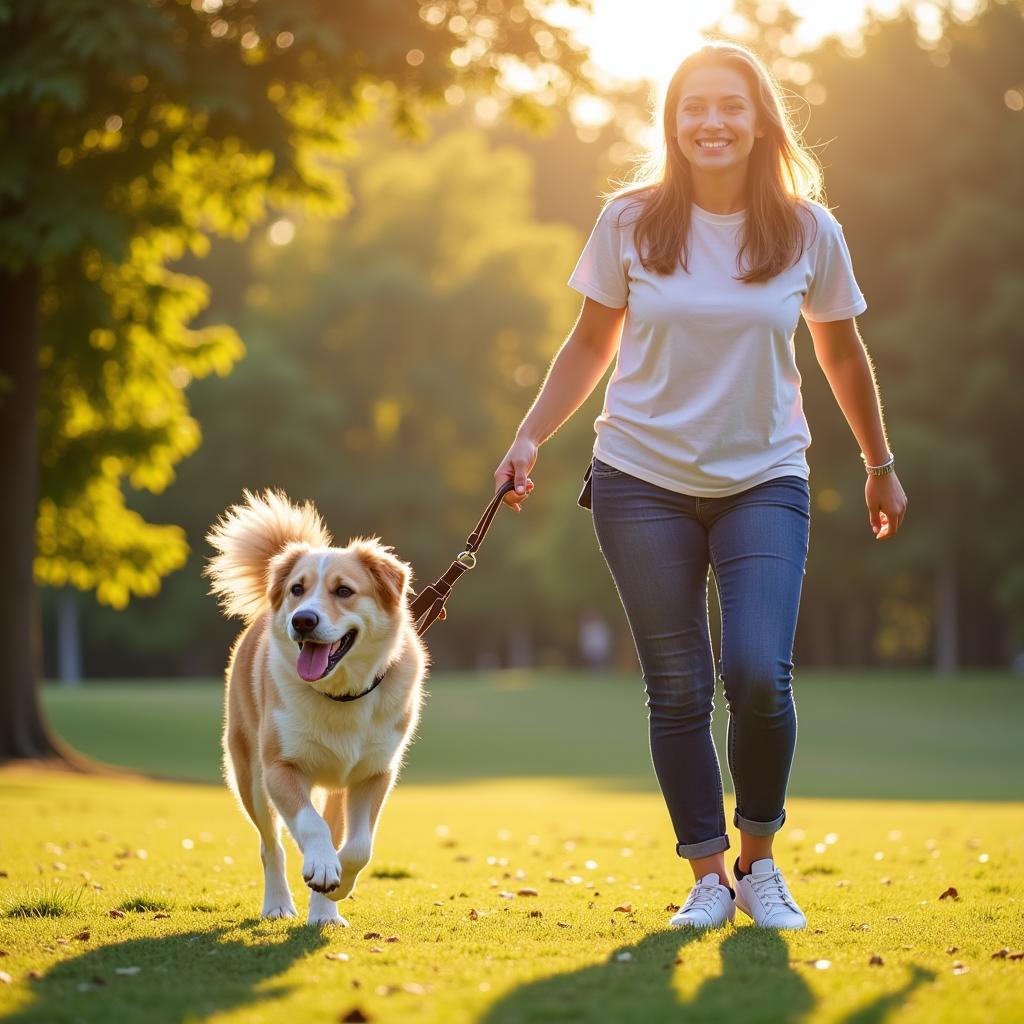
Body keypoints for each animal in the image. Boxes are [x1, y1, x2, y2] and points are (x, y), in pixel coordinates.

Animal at [203, 487, 428, 929]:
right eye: (297, 589)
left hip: (336, 787)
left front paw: (336, 887)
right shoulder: (280, 768)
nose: (302, 620)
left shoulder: (375, 773)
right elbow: (309, 825)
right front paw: (322, 868)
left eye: (344, 591)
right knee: (271, 845)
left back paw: (325, 911)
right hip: (249, 775)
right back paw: (279, 903)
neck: (339, 696)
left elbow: (358, 846)